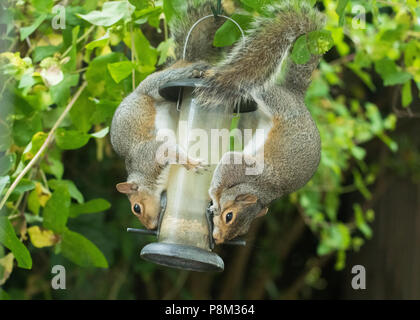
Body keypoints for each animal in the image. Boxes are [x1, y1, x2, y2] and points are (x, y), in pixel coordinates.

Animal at [200, 1, 324, 242]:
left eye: (242, 231)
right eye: (229, 216)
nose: (219, 239)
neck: (263, 190)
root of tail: (296, 96)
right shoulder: (244, 169)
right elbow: (227, 168)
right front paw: (215, 198)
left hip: (253, 121)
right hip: (272, 98)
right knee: (252, 82)